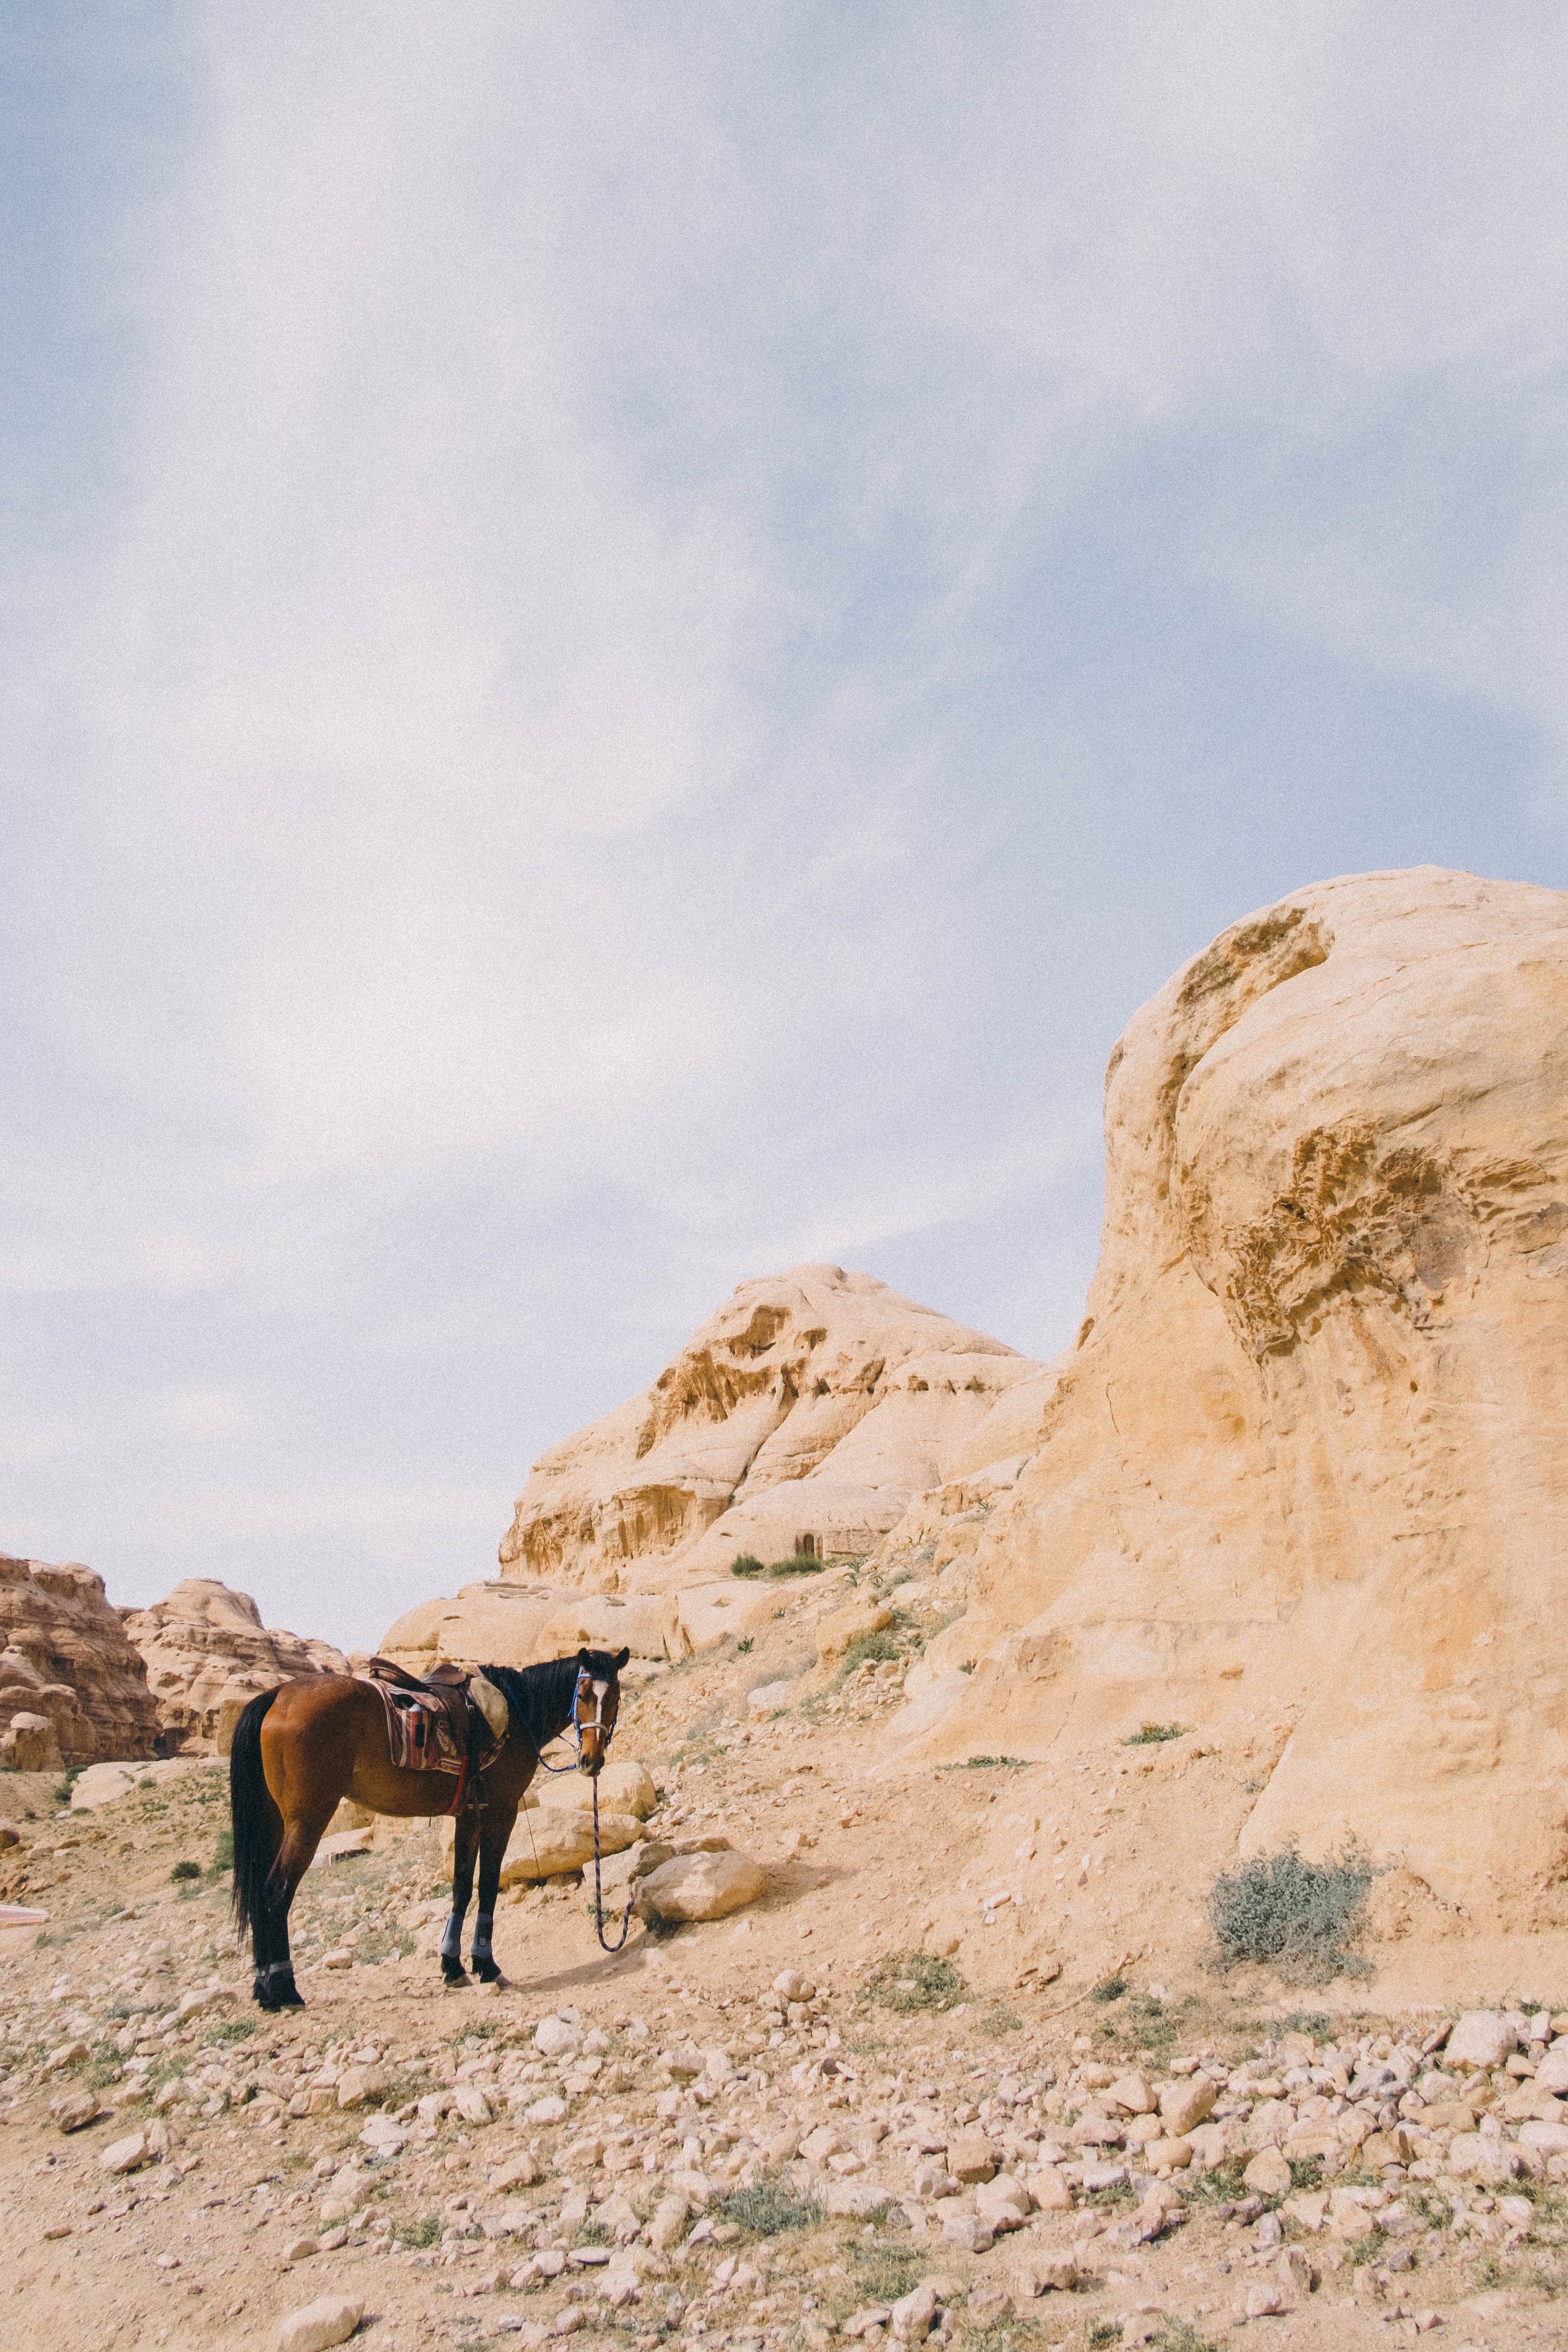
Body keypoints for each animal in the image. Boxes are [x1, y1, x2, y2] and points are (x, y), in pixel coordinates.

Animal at [228, 1646, 630, 2008]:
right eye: (582, 1694)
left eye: (614, 1697)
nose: (591, 1762)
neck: (517, 1716)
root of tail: (277, 1695)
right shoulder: (500, 1813)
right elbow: (486, 1887)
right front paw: (486, 1964)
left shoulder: (469, 1815)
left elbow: (461, 1888)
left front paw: (453, 1966)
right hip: (307, 1820)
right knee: (275, 1893)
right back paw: (284, 1990)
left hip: (274, 1822)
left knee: (260, 1892)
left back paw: (264, 1988)